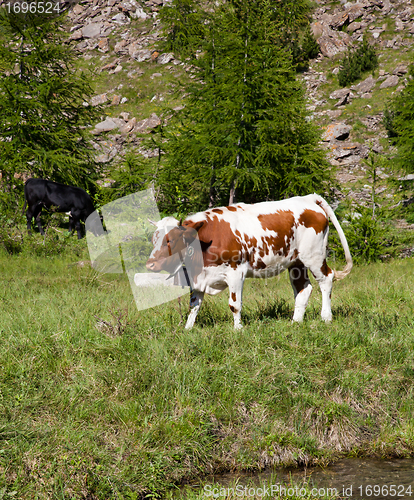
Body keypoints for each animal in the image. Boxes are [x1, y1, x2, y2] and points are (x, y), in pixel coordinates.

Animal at [146, 194, 352, 328]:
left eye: (170, 240)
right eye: (153, 239)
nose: (150, 265)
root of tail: (308, 198)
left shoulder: (236, 273)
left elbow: (234, 304)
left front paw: (238, 330)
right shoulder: (200, 277)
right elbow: (194, 305)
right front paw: (188, 329)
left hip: (314, 255)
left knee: (326, 279)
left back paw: (326, 317)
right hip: (296, 262)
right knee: (303, 289)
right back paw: (296, 322)